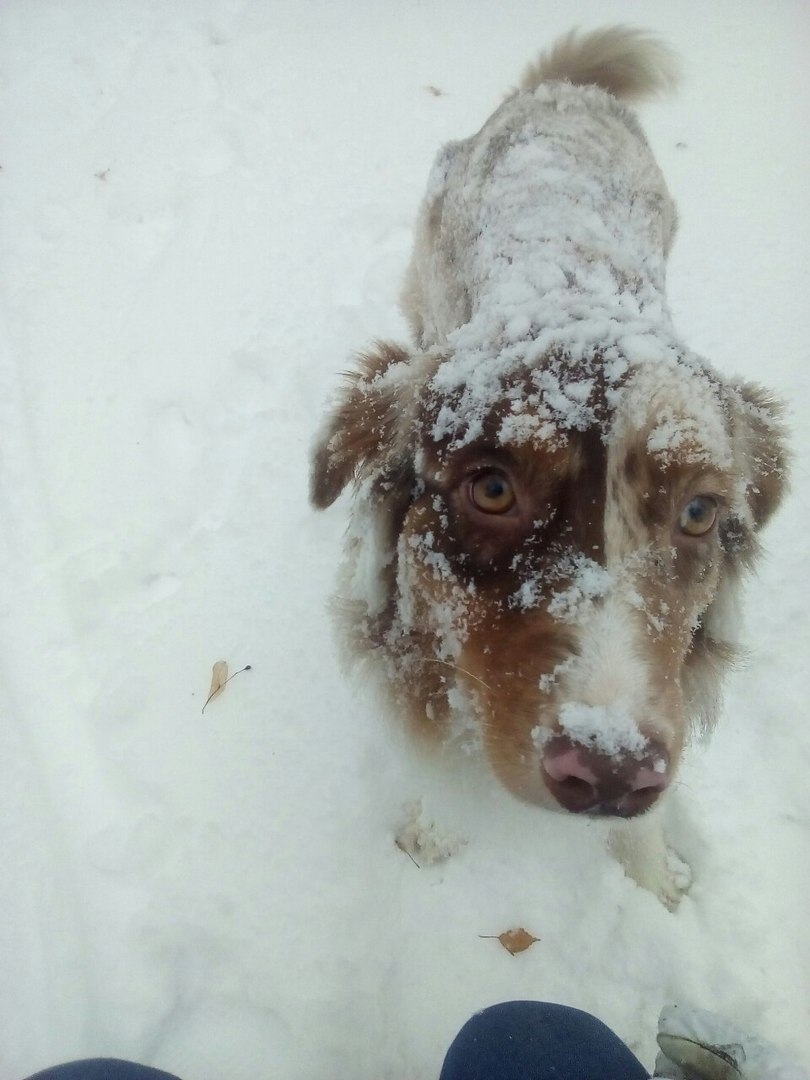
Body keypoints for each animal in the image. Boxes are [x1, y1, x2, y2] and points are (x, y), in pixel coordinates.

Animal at [311, 25, 786, 902]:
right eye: (493, 489)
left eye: (698, 512)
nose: (611, 776)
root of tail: (559, 90)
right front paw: (434, 831)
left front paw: (654, 878)